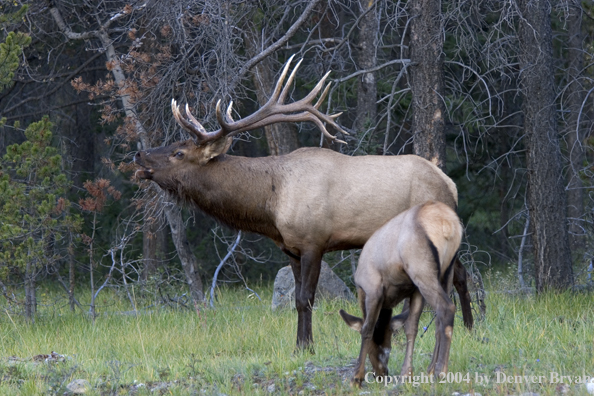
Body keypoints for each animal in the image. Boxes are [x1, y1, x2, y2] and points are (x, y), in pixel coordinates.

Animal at [134, 55, 472, 350]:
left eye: (178, 152)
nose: (139, 154)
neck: (270, 206)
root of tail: (451, 185)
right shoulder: (291, 249)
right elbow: (297, 298)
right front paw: (301, 344)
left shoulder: (314, 241)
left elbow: (305, 297)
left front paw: (306, 346)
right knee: (460, 274)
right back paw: (469, 327)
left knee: (451, 278)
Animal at [338, 200, 462, 386]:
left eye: (382, 350)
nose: (382, 374)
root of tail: (448, 224)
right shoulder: (414, 290)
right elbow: (411, 327)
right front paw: (406, 374)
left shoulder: (373, 289)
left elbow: (367, 328)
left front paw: (356, 377)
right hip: (446, 272)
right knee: (439, 319)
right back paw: (430, 370)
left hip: (422, 271)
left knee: (446, 308)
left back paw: (440, 372)